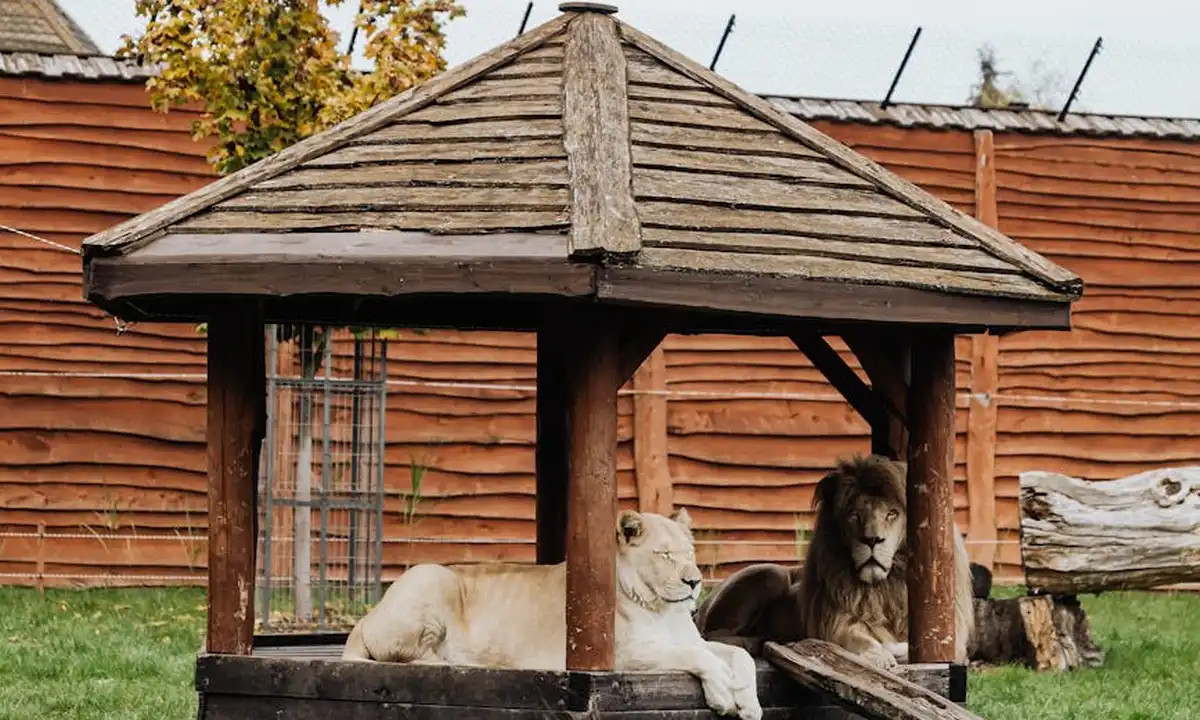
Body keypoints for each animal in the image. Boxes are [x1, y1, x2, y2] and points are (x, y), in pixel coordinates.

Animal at [342, 508, 763, 720]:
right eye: (664, 555)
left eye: (690, 553)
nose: (694, 581)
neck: (663, 609)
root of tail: (364, 619)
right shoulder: (624, 656)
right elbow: (698, 657)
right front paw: (723, 693)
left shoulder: (693, 641)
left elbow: (739, 654)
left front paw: (749, 702)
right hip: (431, 575)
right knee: (408, 658)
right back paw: (466, 663)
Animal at [695, 454, 974, 671]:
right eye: (855, 515)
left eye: (892, 514)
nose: (872, 539)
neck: (885, 587)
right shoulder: (832, 624)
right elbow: (857, 639)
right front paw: (878, 654)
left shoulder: (950, 640)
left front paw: (895, 649)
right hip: (769, 574)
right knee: (708, 636)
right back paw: (756, 641)